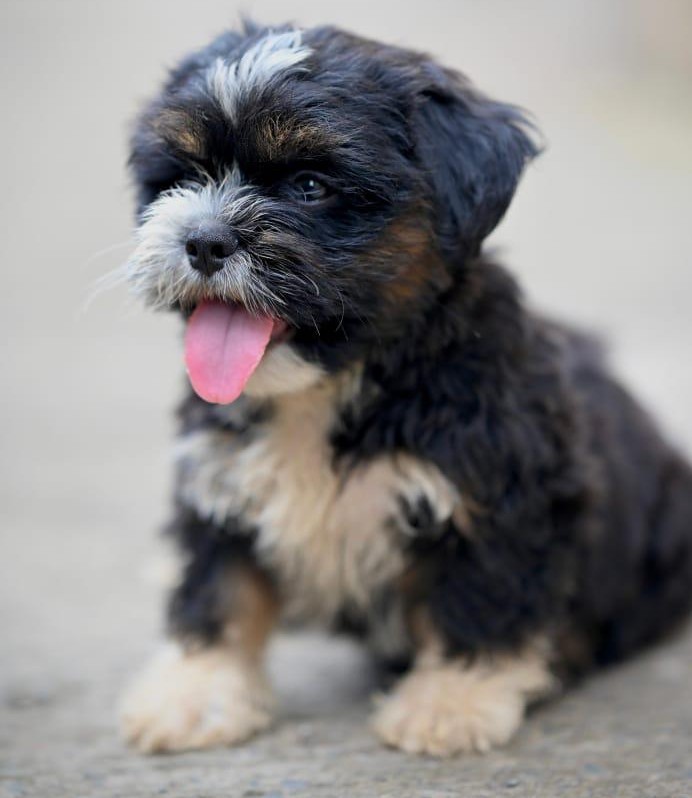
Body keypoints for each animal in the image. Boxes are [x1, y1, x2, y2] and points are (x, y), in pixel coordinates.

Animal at [119, 20, 692, 756]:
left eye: (310, 184)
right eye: (184, 176)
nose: (203, 240)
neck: (331, 384)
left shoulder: (504, 488)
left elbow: (482, 594)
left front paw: (453, 699)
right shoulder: (218, 478)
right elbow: (219, 585)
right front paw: (197, 689)